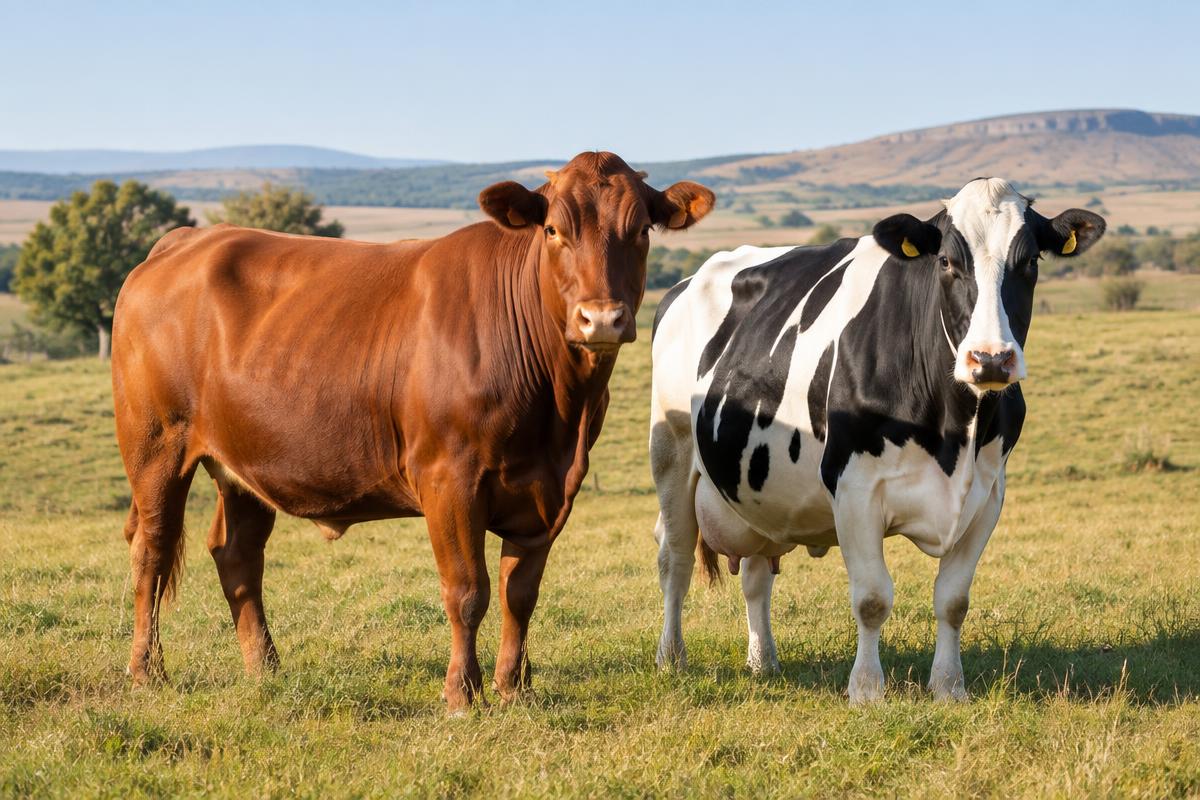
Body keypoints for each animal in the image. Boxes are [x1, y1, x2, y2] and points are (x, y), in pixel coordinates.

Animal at [111, 151, 714, 712]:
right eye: (552, 230)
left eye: (641, 230)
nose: (602, 319)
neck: (559, 412)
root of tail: (186, 241)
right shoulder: (449, 478)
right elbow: (467, 590)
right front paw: (461, 693)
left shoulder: (548, 488)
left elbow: (520, 592)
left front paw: (513, 688)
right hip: (155, 446)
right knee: (152, 550)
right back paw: (146, 671)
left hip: (244, 463)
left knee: (237, 554)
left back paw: (266, 668)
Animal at [649, 178, 1104, 703]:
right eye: (945, 261)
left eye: (1030, 261)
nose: (990, 359)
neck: (955, 431)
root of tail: (686, 282)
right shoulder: (854, 488)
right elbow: (871, 598)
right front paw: (866, 690)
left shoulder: (988, 494)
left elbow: (953, 600)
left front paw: (949, 687)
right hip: (671, 451)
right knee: (675, 558)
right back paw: (671, 657)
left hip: (759, 493)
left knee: (756, 575)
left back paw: (763, 662)